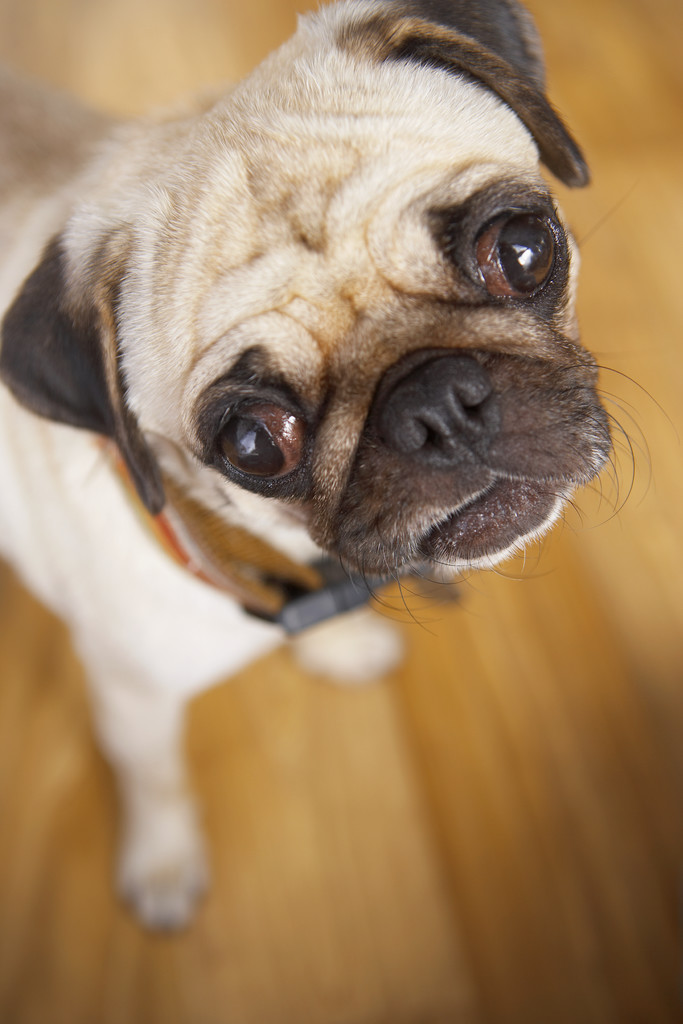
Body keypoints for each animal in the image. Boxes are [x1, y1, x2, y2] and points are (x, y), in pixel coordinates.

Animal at [0, 0, 611, 928]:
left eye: (521, 250)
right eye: (255, 442)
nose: (433, 404)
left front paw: (338, 644)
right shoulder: (132, 694)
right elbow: (156, 778)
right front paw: (163, 862)